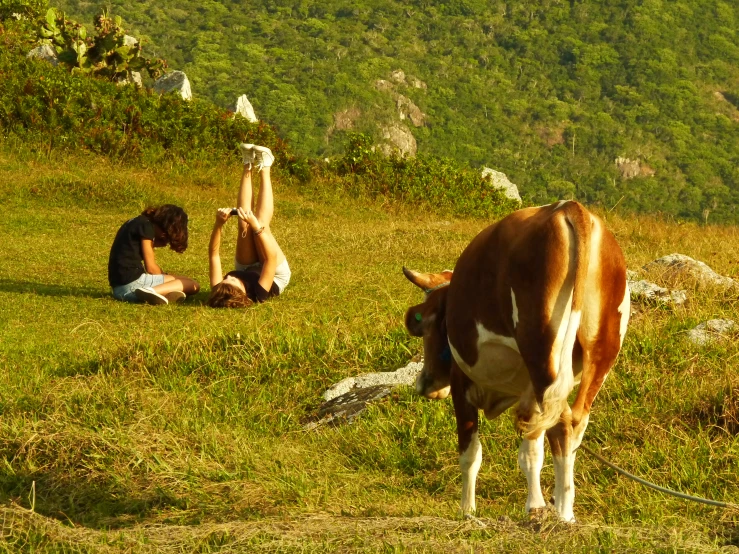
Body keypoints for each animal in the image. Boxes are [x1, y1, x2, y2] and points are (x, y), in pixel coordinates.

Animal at [404, 201, 632, 520]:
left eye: (423, 323)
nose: (424, 384)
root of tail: (570, 208)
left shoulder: (463, 386)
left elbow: (470, 454)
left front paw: (467, 511)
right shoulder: (529, 392)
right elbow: (537, 448)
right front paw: (540, 506)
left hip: (541, 355)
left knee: (553, 429)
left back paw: (555, 510)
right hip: (599, 355)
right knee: (574, 425)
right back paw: (564, 508)